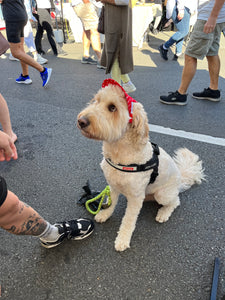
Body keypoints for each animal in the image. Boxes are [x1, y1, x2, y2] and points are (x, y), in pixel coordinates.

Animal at [76, 79, 205, 251]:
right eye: (96, 101)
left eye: (112, 107)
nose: (81, 121)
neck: (119, 153)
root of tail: (180, 181)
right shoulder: (113, 186)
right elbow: (111, 203)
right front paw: (105, 214)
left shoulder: (136, 198)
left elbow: (128, 220)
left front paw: (123, 239)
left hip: (162, 194)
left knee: (176, 201)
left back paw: (163, 213)